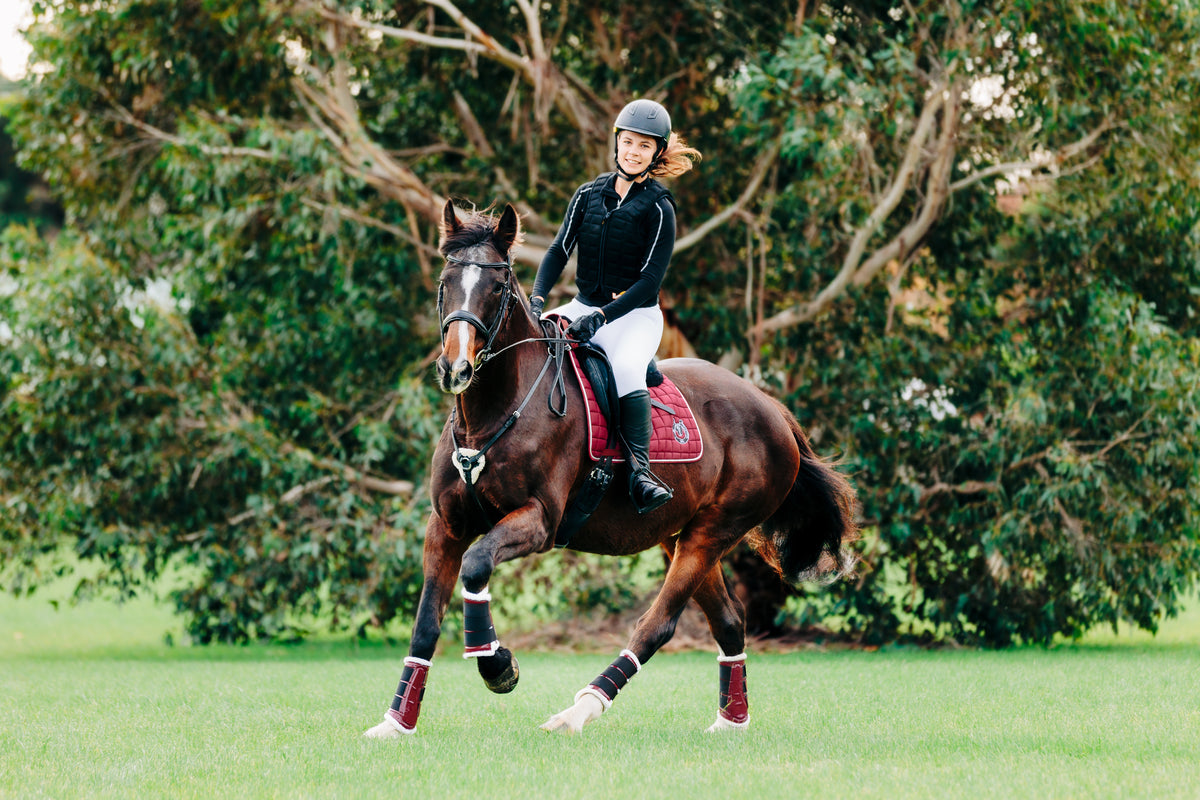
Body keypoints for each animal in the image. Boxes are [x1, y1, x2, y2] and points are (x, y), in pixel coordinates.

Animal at [364, 200, 857, 737]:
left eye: (496, 286)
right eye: (446, 281)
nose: (456, 368)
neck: (493, 413)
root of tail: (773, 410)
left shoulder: (538, 522)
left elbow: (477, 565)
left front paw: (497, 665)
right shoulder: (446, 526)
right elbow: (426, 622)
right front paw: (396, 721)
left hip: (713, 532)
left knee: (657, 625)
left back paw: (579, 710)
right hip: (680, 534)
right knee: (729, 620)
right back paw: (731, 721)